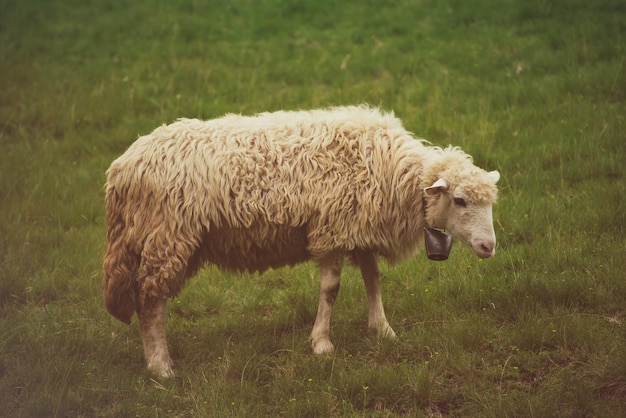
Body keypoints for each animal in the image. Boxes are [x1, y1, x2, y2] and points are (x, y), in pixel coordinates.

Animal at [103, 105, 502, 378]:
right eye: (460, 200)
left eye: (490, 203)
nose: (489, 247)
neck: (390, 171)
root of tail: (122, 168)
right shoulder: (332, 230)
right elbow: (331, 289)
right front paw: (322, 344)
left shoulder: (359, 229)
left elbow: (373, 280)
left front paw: (383, 330)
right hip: (166, 238)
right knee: (151, 301)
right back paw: (160, 366)